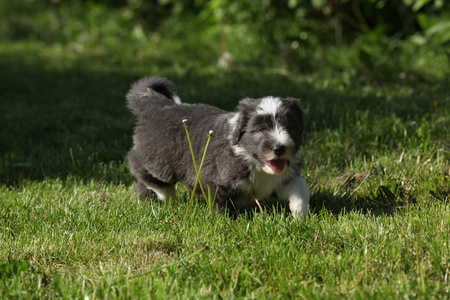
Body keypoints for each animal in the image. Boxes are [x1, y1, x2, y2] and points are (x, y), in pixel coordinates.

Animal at [126, 76, 310, 219]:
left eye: (290, 127)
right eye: (261, 129)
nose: (279, 149)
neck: (254, 163)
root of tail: (159, 107)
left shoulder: (284, 177)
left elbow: (300, 188)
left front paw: (301, 215)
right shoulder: (215, 180)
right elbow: (220, 205)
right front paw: (228, 223)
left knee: (142, 183)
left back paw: (141, 201)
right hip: (157, 159)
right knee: (139, 166)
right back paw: (166, 195)